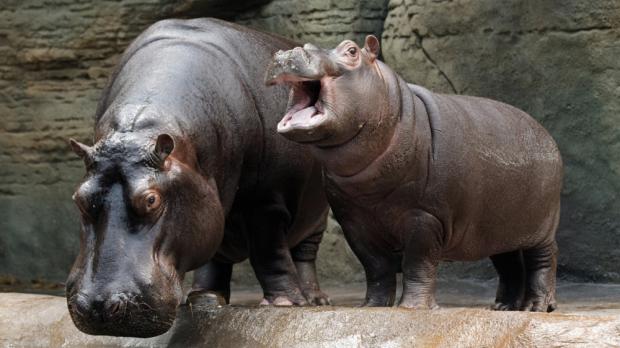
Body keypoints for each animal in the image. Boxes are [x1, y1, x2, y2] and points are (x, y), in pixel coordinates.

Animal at [65, 18, 332, 338]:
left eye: (151, 200)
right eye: (79, 198)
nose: (99, 306)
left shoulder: (266, 202)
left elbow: (269, 253)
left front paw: (283, 303)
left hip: (316, 216)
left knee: (304, 254)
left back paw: (315, 299)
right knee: (216, 255)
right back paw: (204, 296)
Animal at [264, 36, 564, 312]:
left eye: (351, 50)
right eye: (306, 44)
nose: (288, 53)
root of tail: (546, 134)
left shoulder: (426, 217)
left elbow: (418, 262)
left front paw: (412, 307)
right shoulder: (354, 221)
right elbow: (376, 266)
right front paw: (372, 306)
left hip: (543, 226)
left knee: (544, 259)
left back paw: (537, 307)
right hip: (500, 227)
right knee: (509, 262)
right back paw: (504, 307)